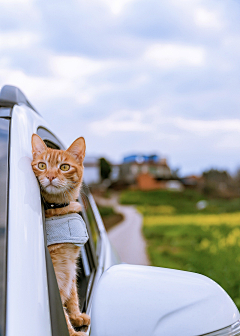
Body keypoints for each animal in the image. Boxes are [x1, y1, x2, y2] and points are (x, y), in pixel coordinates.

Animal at [31, 134, 90, 336]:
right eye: (42, 165)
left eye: (64, 167)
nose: (50, 176)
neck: (58, 210)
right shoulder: (57, 271)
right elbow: (62, 309)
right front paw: (72, 331)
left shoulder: (71, 263)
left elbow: (72, 293)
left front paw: (76, 316)